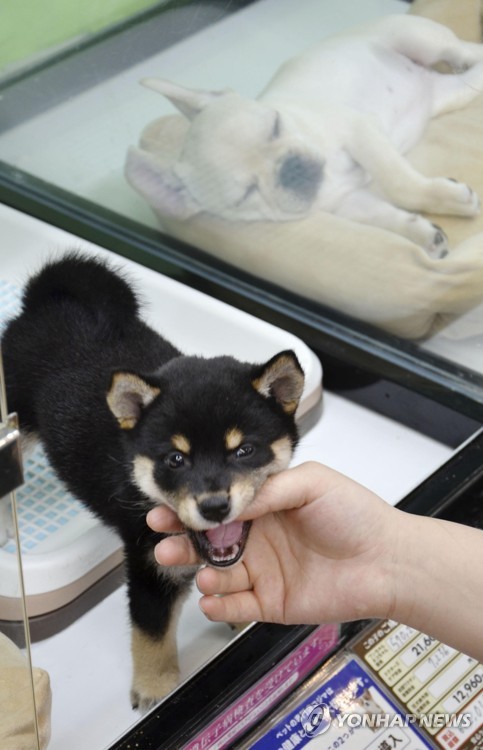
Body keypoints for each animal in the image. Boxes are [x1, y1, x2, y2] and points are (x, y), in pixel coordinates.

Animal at [1, 254, 304, 712]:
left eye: (244, 450)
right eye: (175, 460)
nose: (214, 506)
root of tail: (43, 304)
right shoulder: (150, 566)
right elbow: (152, 636)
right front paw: (156, 689)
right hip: (14, 422)